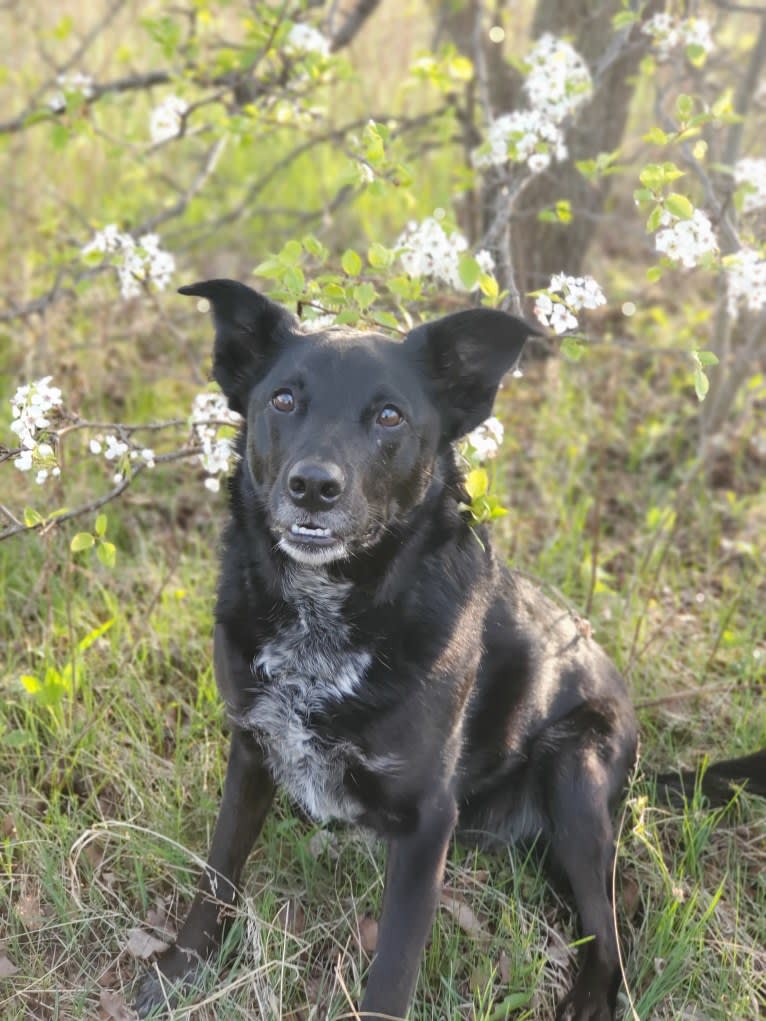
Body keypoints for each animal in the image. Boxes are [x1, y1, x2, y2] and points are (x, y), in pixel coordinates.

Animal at [137, 281, 766, 1021]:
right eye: (283, 400)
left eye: (389, 416)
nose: (313, 486)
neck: (332, 615)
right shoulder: (253, 750)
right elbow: (218, 875)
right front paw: (179, 972)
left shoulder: (428, 819)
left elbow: (393, 968)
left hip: (576, 771)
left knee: (617, 912)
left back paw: (589, 995)